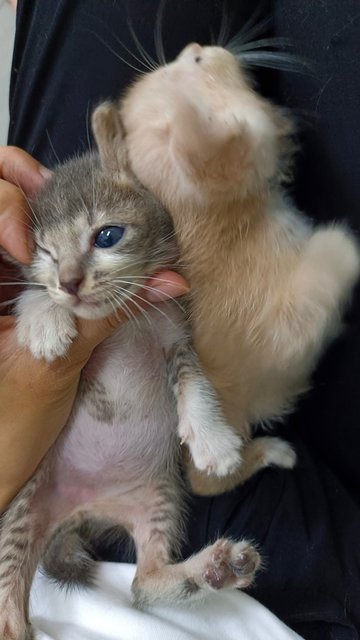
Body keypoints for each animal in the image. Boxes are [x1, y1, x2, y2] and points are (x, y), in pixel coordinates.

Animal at [0, 107, 260, 636]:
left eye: (107, 236)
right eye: (46, 254)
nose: (70, 282)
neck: (125, 323)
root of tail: (86, 511)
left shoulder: (176, 336)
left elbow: (194, 381)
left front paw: (213, 441)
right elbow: (30, 296)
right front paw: (46, 320)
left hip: (160, 495)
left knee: (143, 584)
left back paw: (214, 569)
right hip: (26, 498)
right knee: (11, 602)